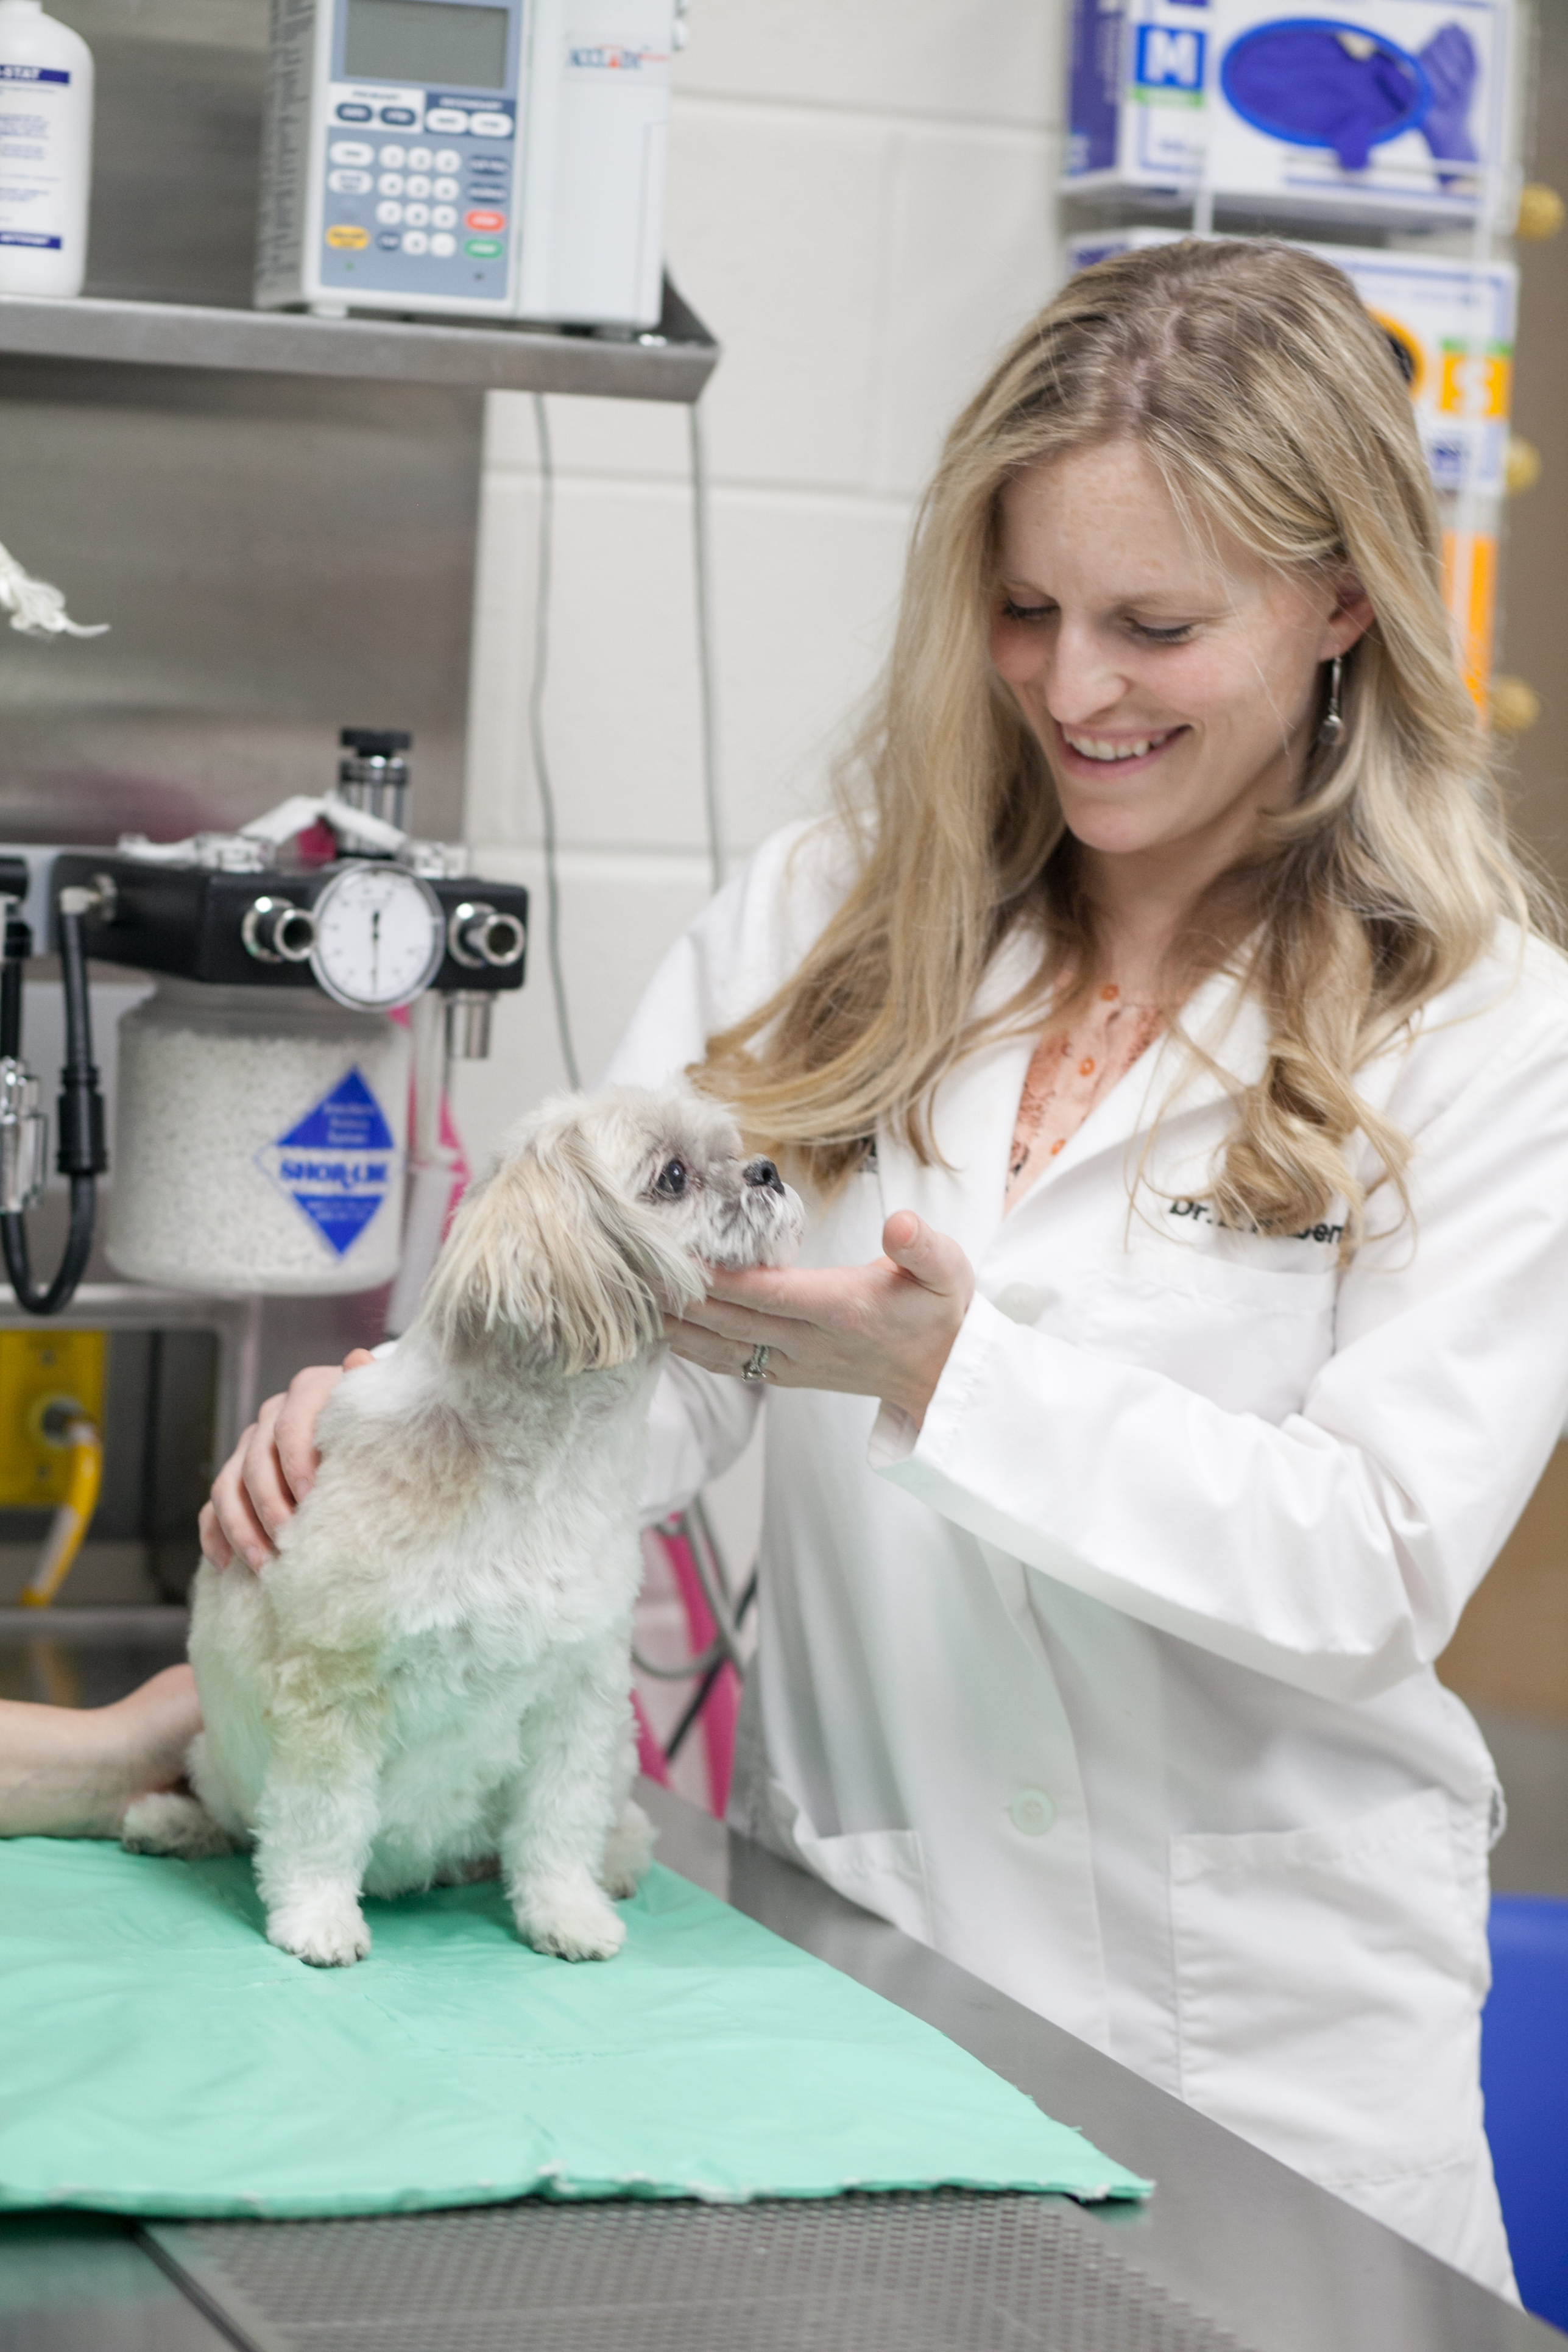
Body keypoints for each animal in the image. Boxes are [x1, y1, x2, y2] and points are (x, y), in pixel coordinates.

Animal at [125, 1091, 799, 1976]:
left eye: (735, 1151)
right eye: (674, 1176)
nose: (769, 1170)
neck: (537, 1469)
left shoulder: (578, 1696)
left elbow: (558, 1824)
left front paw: (566, 1912)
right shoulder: (332, 1683)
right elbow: (319, 1820)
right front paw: (316, 1918)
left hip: (617, 1749)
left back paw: (613, 1862)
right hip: (214, 1756)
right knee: (238, 1817)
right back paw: (172, 1823)